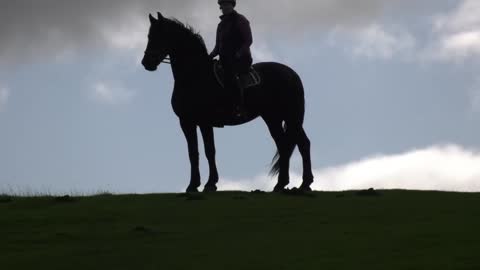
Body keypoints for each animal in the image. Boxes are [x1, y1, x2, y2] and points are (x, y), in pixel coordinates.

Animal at [142, 12, 316, 192]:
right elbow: (193, 152)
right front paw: (193, 185)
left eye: (159, 35)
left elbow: (209, 151)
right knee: (284, 145)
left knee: (303, 144)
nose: (146, 63)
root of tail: (292, 74)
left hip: (291, 117)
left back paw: (305, 183)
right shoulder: (187, 121)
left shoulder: (204, 122)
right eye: (149, 36)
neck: (194, 76)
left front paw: (210, 183)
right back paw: (281, 184)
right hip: (273, 118)